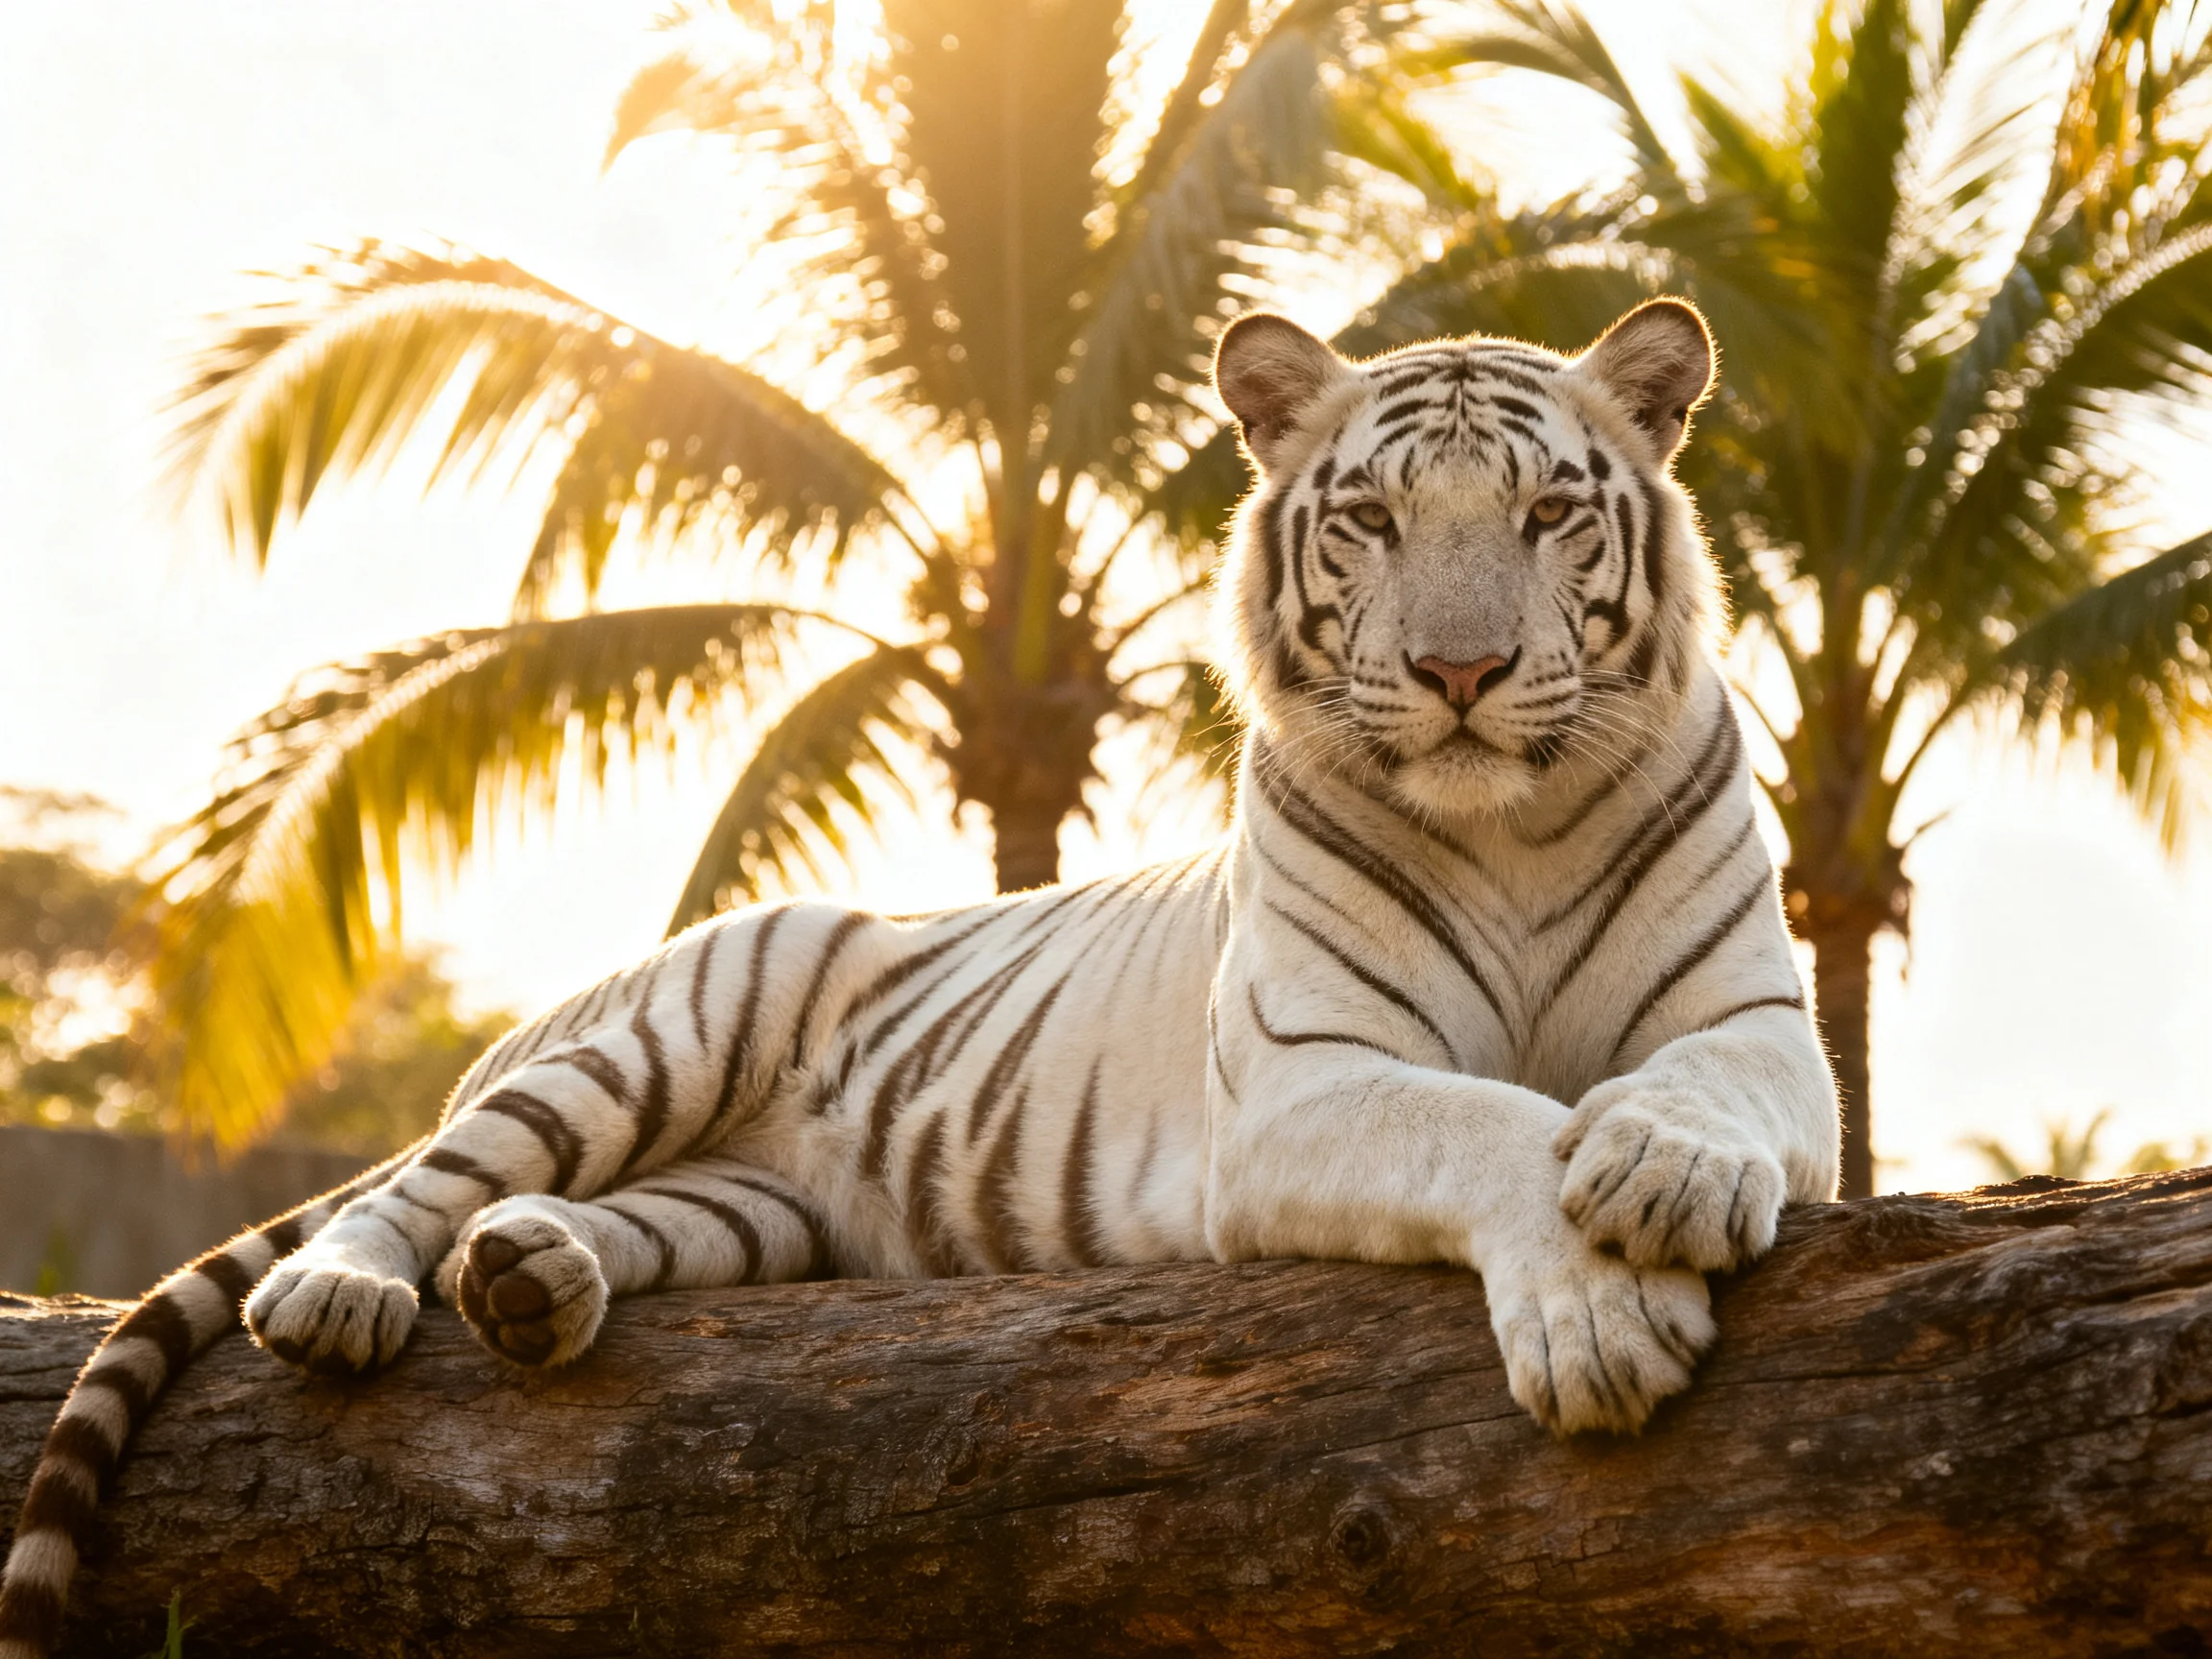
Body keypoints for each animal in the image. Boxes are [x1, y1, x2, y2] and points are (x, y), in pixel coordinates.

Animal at [0, 296, 1840, 1656]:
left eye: (1547, 514)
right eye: (1374, 521)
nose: (1459, 671)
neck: (1504, 824)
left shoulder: (1759, 1033)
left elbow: (1684, 1089)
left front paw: (1661, 1172)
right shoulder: (1306, 1079)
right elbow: (1483, 1120)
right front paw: (1600, 1316)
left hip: (756, 1208)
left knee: (583, 1229)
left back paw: (532, 1284)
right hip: (659, 1034)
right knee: (409, 1192)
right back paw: (351, 1293)